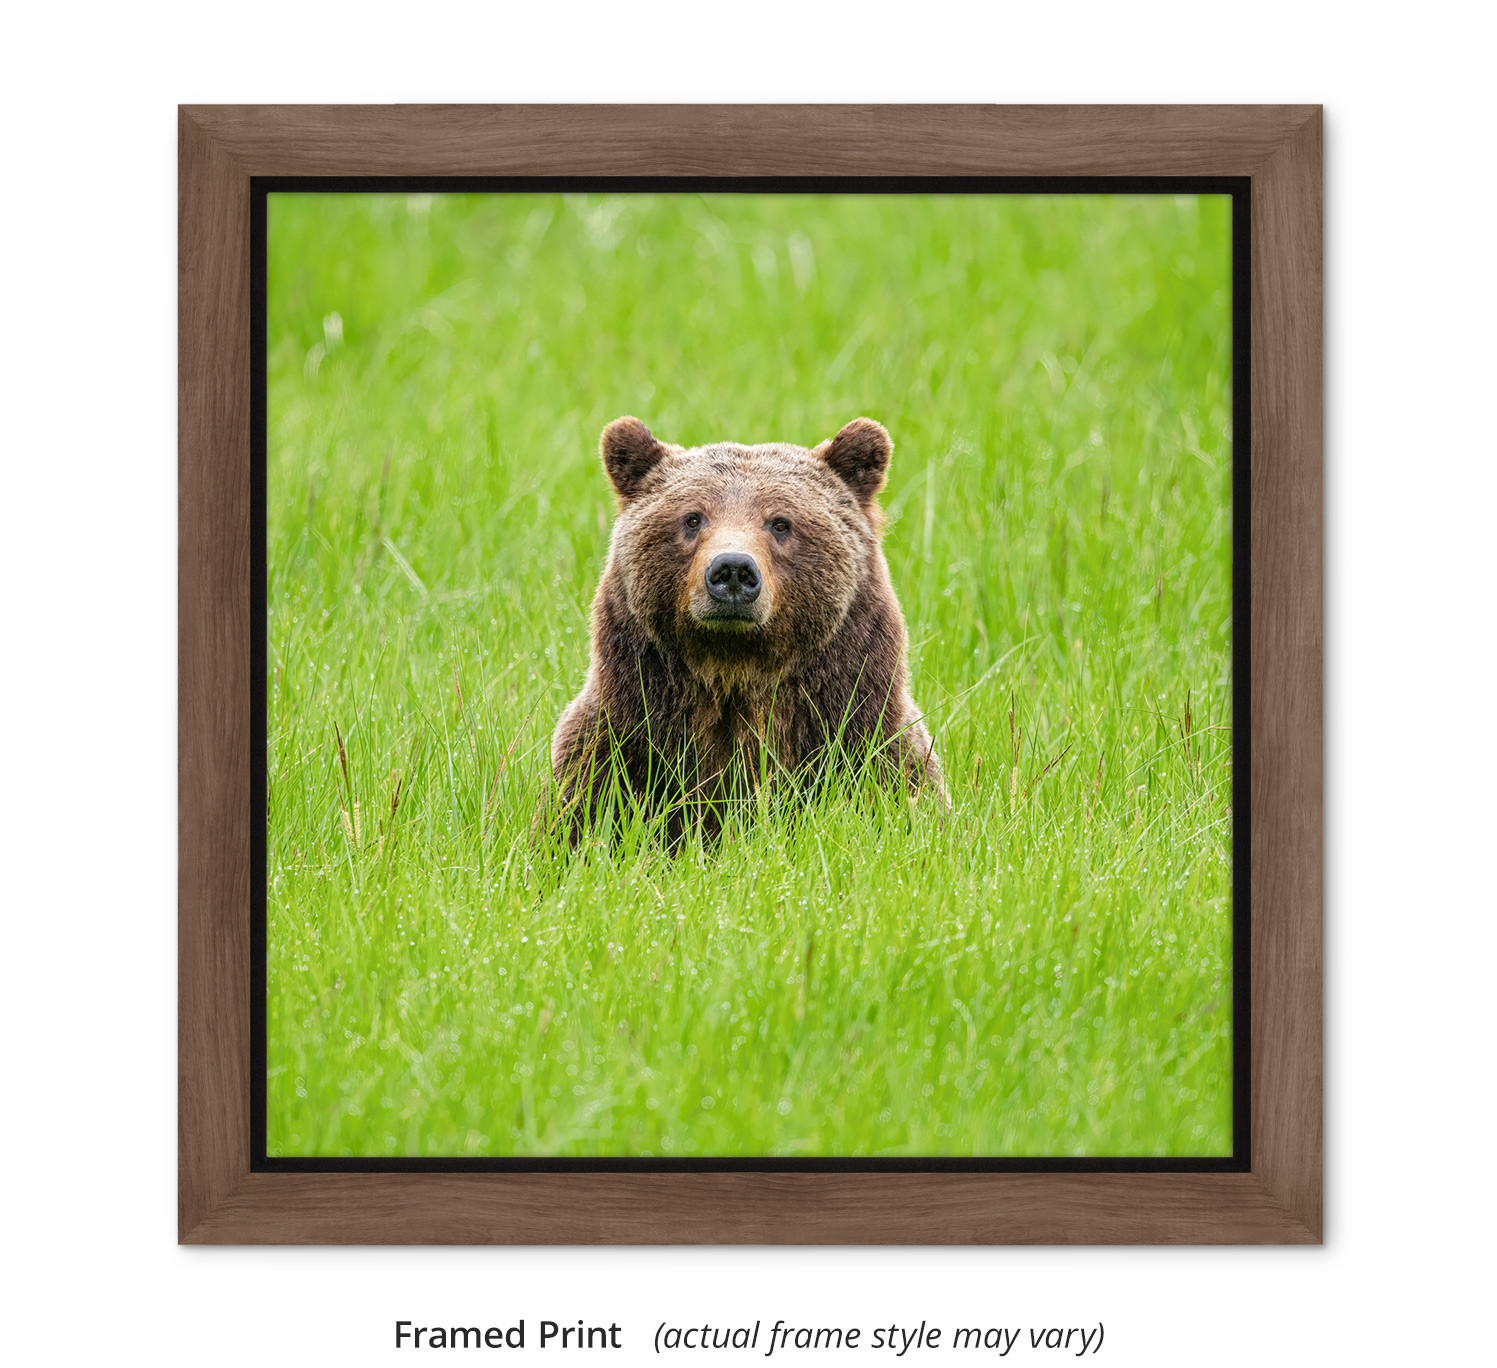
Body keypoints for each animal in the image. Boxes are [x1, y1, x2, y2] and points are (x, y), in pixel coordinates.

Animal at [544, 415, 948, 844]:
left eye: (781, 523)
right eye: (692, 517)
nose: (733, 569)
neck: (736, 671)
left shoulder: (868, 743)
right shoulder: (618, 747)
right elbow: (578, 819)